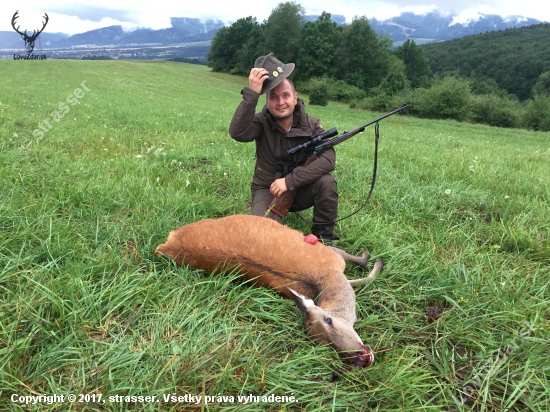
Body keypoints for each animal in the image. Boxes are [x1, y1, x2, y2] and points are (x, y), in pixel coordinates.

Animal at [155, 214, 384, 366]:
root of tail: (167, 243)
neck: (328, 281)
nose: (359, 358)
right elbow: (362, 268)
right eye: (324, 344)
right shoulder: (332, 254)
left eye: (329, 320)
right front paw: (374, 258)